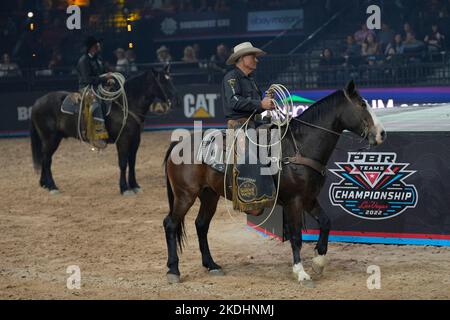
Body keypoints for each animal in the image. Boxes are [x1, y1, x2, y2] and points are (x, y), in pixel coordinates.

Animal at [30, 66, 176, 194]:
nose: (176, 100)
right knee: (47, 160)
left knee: (44, 159)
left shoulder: (135, 139)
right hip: (50, 139)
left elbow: (132, 162)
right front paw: (124, 188)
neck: (125, 104)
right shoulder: (123, 139)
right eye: (163, 81)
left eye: (170, 80)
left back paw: (44, 184)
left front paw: (135, 185)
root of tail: (37, 102)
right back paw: (52, 186)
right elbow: (123, 163)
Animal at [162, 80, 386, 284]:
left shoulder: (309, 198)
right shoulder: (294, 201)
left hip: (209, 194)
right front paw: (301, 272)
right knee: (170, 224)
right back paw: (174, 270)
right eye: (362, 105)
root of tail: (178, 143)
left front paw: (318, 262)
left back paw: (212, 265)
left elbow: (325, 222)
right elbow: (296, 237)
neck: (300, 147)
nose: (382, 133)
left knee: (201, 225)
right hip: (185, 195)